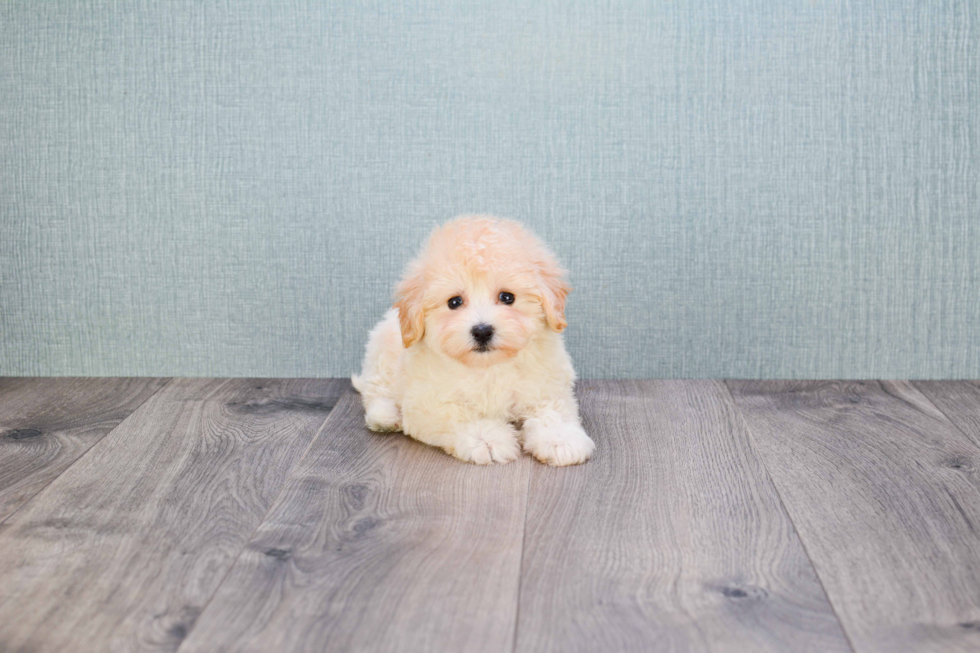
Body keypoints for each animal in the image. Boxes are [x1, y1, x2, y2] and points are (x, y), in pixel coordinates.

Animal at [352, 214, 596, 464]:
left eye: (507, 297)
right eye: (454, 302)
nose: (482, 331)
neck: (487, 367)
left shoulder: (547, 386)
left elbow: (553, 410)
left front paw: (560, 439)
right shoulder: (427, 403)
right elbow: (460, 416)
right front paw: (487, 439)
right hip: (382, 351)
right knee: (376, 391)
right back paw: (386, 416)